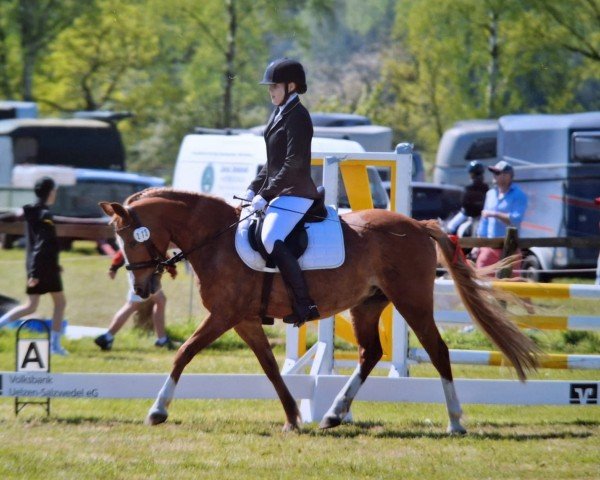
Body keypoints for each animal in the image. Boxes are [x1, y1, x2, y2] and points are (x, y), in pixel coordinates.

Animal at [99, 189, 540, 434]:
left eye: (131, 237)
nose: (141, 290)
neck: (216, 240)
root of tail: (417, 224)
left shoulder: (224, 315)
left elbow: (183, 353)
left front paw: (157, 410)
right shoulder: (243, 320)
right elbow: (270, 367)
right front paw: (294, 416)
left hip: (412, 300)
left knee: (438, 351)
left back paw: (455, 421)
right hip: (368, 304)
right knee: (370, 353)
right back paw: (333, 414)